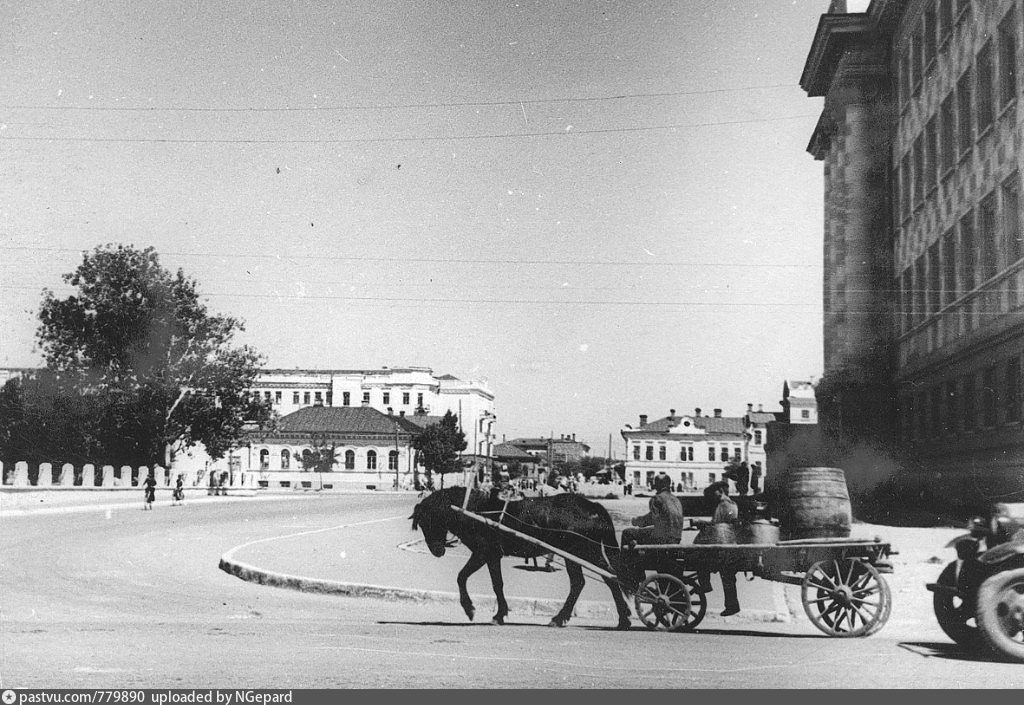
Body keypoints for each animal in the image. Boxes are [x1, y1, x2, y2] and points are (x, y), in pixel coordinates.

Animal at [407, 487, 630, 631]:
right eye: (422, 523)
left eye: (429, 520)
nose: (437, 550)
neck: (475, 510)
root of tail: (591, 506)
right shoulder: (492, 556)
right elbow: (497, 584)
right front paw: (499, 614)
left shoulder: (482, 553)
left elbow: (462, 577)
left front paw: (470, 608)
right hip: (586, 553)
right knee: (605, 579)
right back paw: (623, 619)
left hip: (580, 553)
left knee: (583, 582)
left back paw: (560, 618)